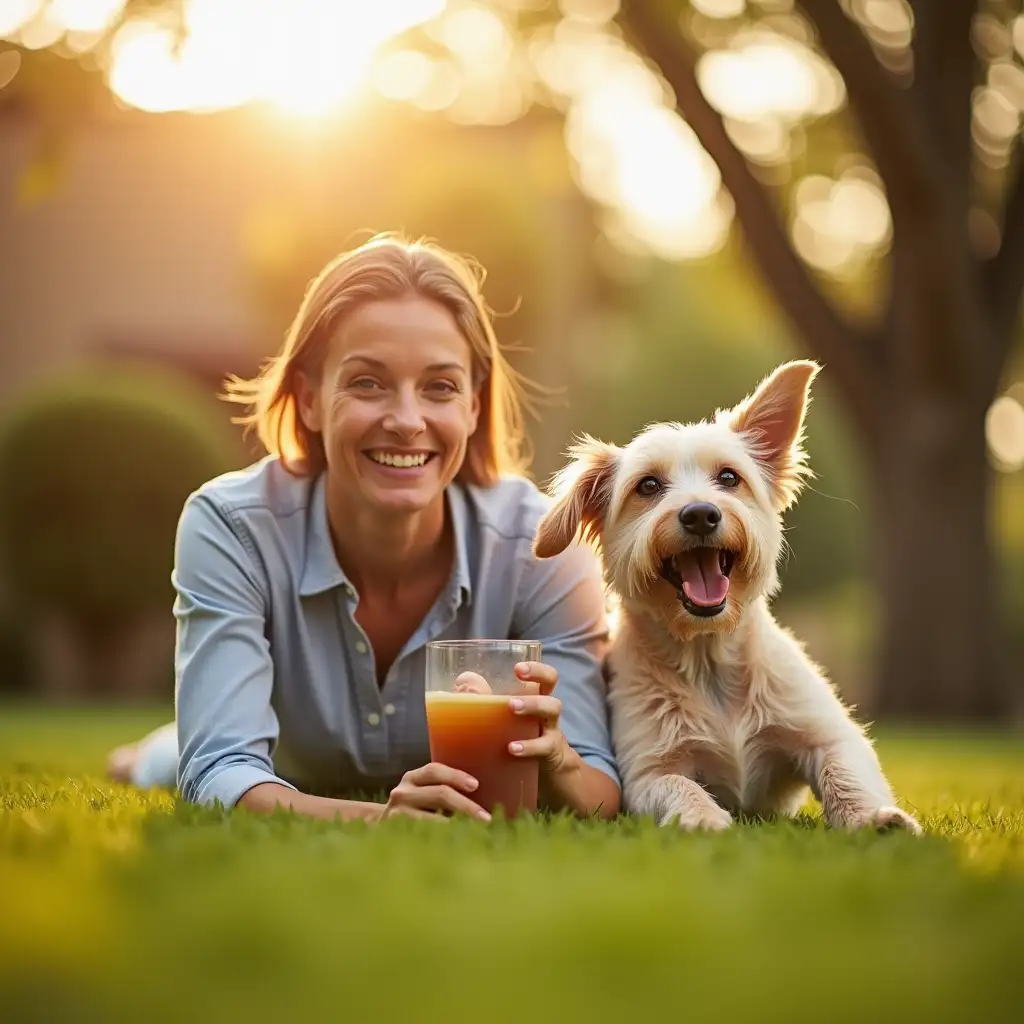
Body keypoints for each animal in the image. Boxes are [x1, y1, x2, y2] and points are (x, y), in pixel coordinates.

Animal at [536, 360, 921, 831]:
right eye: (647, 486)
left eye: (728, 478)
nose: (700, 514)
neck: (709, 657)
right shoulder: (648, 771)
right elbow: (678, 785)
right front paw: (703, 818)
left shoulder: (827, 734)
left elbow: (844, 772)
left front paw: (873, 818)